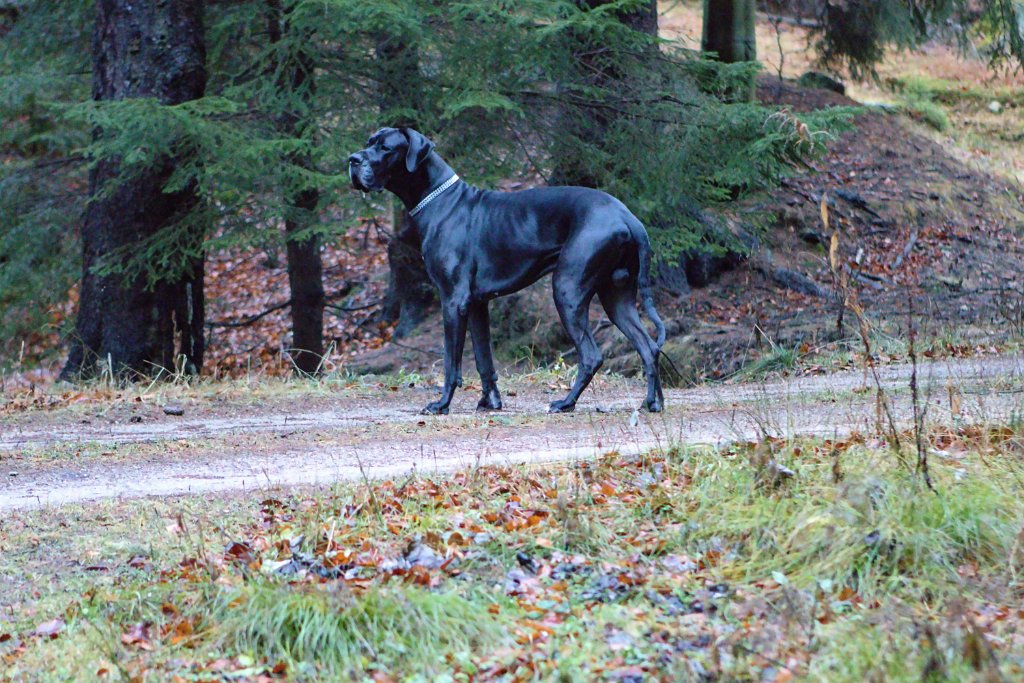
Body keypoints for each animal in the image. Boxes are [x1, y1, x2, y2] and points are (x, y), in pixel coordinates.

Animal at [348, 129, 667, 417]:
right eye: (368, 142)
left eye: (385, 148)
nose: (352, 159)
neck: (440, 201)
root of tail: (628, 216)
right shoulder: (477, 303)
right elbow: (483, 358)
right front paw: (490, 402)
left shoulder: (453, 300)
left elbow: (452, 362)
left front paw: (441, 404)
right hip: (617, 297)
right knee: (649, 347)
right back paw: (653, 403)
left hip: (567, 289)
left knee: (591, 356)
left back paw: (566, 403)